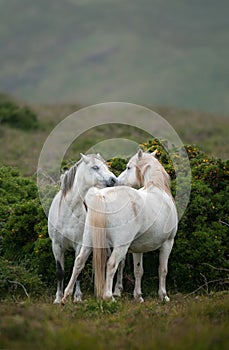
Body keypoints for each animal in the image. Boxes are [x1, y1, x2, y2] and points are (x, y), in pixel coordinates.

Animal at [47, 153, 116, 304]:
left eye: (106, 166)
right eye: (95, 167)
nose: (114, 180)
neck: (68, 211)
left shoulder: (80, 245)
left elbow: (79, 270)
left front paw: (77, 297)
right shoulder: (56, 245)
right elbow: (60, 272)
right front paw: (58, 298)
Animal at [61, 150, 177, 304]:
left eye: (128, 168)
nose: (116, 181)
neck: (158, 189)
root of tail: (102, 196)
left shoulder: (138, 249)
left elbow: (138, 271)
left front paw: (138, 296)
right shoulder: (168, 243)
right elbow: (163, 270)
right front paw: (163, 295)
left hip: (87, 242)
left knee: (79, 262)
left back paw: (65, 296)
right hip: (121, 247)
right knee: (111, 264)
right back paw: (108, 296)